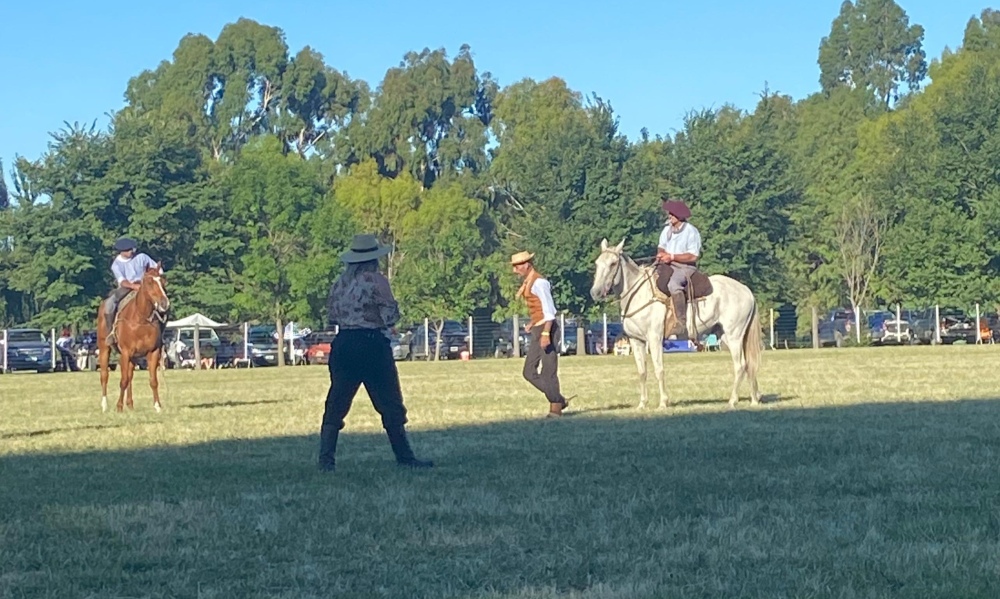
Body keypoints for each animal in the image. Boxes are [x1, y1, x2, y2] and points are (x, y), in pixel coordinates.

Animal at [95, 266, 170, 412]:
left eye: (163, 281)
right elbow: (123, 380)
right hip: (104, 348)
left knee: (130, 376)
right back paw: (104, 405)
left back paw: (130, 404)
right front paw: (119, 407)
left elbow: (153, 381)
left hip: (133, 357)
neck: (140, 319)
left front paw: (157, 406)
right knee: (104, 375)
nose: (164, 303)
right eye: (149, 282)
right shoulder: (125, 352)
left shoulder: (153, 352)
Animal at [588, 237, 760, 410]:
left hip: (734, 336)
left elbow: (659, 370)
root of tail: (746, 290)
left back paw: (732, 401)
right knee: (748, 364)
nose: (595, 292)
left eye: (613, 263)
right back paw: (754, 399)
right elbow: (642, 372)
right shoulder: (636, 341)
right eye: (597, 263)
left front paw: (663, 402)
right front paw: (642, 404)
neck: (639, 295)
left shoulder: (655, 339)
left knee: (740, 365)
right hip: (726, 335)